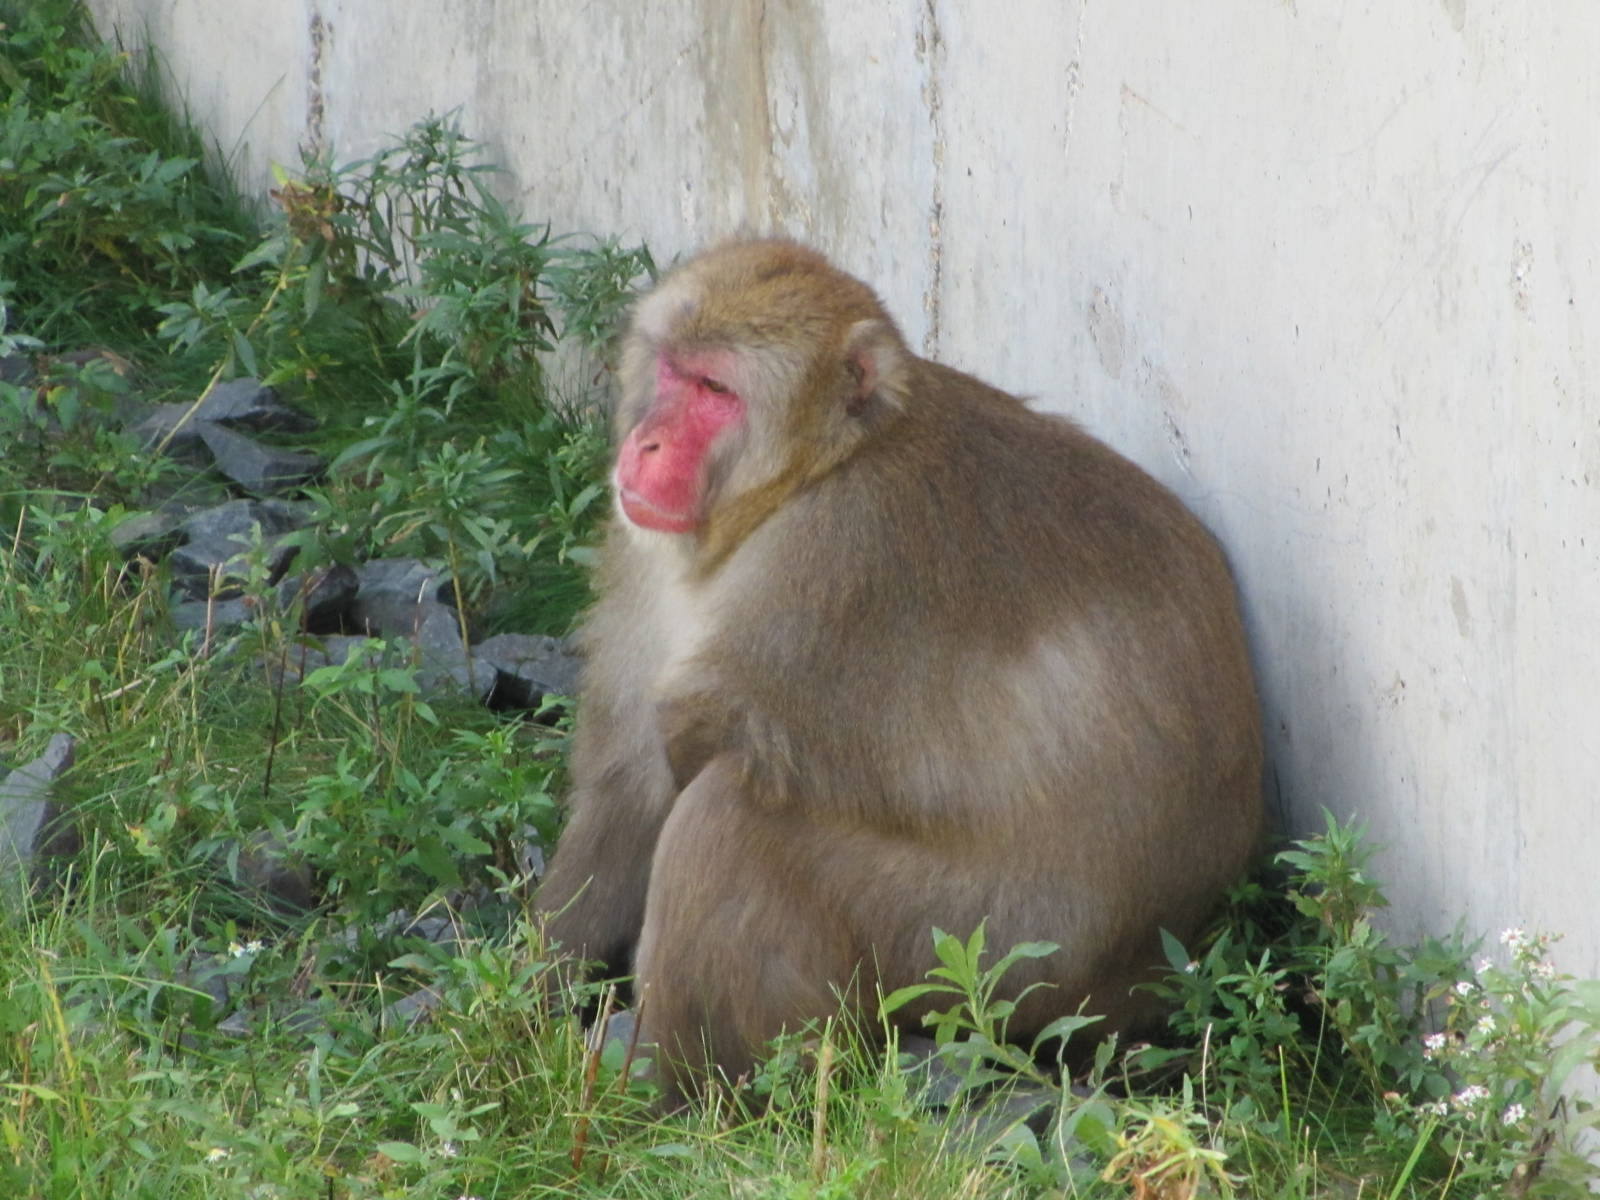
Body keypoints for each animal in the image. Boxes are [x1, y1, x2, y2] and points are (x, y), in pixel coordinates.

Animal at [533, 238, 1263, 1103]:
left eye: (716, 392)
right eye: (674, 371)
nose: (643, 443)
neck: (814, 475)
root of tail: (1153, 965)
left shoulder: (845, 559)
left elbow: (699, 741)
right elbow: (632, 773)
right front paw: (521, 993)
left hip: (991, 951)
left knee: (727, 817)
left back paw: (675, 1099)